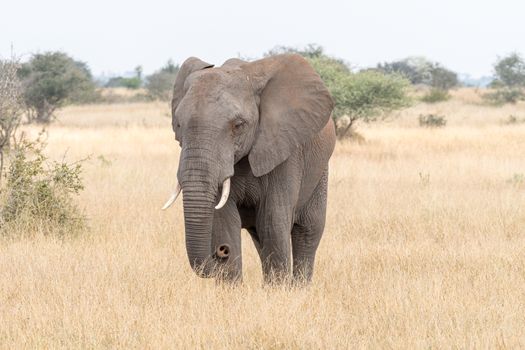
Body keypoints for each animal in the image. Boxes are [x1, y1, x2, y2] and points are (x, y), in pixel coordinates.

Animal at [162, 54, 336, 284]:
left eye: (238, 125)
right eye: (179, 125)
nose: (221, 251)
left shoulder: (285, 154)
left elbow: (272, 221)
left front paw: (278, 290)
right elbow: (225, 221)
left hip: (320, 171)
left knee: (308, 231)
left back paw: (300, 287)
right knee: (259, 236)